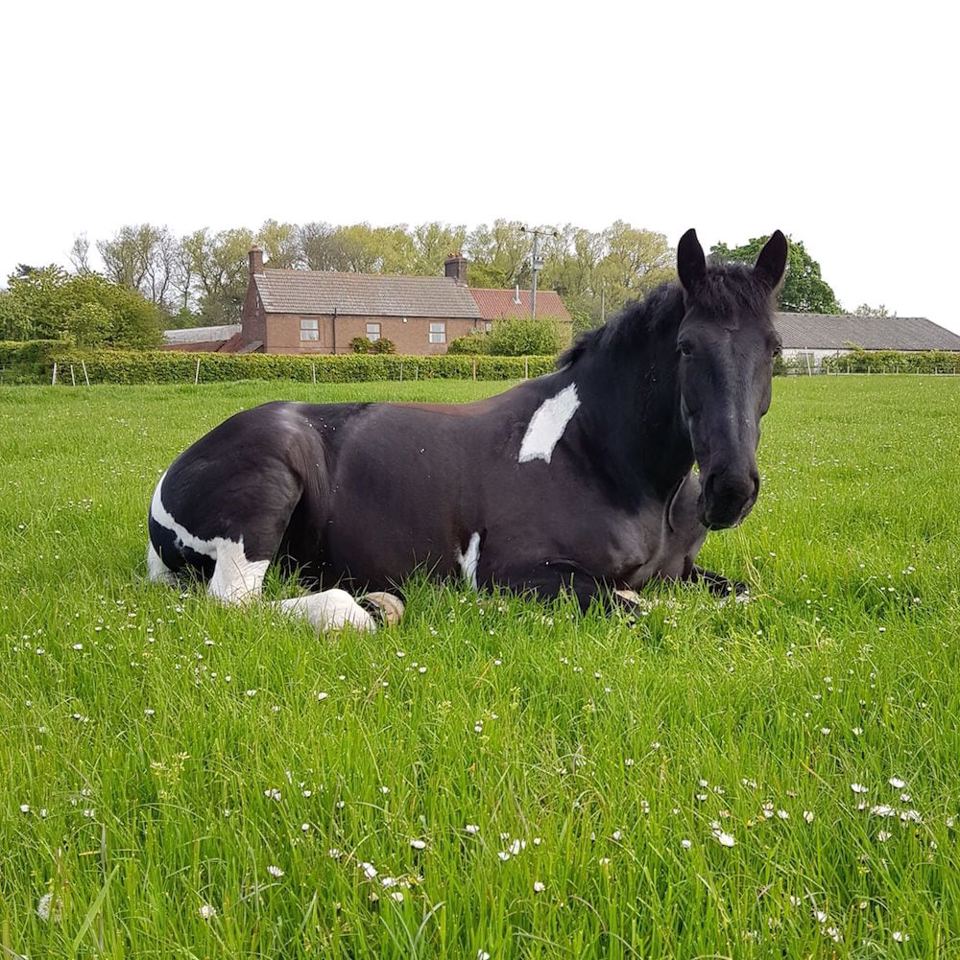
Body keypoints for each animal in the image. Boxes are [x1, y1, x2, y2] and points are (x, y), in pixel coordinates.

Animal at [146, 228, 787, 630]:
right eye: (686, 346)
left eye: (774, 348)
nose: (730, 491)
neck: (598, 458)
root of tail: (169, 479)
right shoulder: (514, 575)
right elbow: (638, 607)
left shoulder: (685, 574)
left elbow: (743, 597)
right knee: (236, 604)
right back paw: (367, 609)